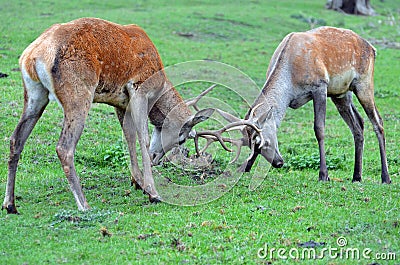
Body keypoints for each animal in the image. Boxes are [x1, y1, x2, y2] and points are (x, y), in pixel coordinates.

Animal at [2, 17, 216, 213]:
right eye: (182, 138)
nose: (157, 158)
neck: (159, 84)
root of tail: (31, 56)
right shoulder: (139, 89)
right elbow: (143, 138)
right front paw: (153, 193)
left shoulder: (121, 103)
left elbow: (129, 137)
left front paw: (137, 182)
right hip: (78, 96)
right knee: (64, 147)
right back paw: (84, 205)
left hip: (34, 95)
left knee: (16, 139)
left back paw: (10, 204)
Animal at [197, 26, 390, 184]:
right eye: (252, 145)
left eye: (263, 142)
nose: (278, 163)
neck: (290, 79)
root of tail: (373, 49)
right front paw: (246, 167)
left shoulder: (320, 87)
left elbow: (319, 129)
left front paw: (324, 174)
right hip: (341, 93)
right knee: (358, 124)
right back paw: (356, 176)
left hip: (364, 84)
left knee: (378, 122)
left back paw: (385, 177)